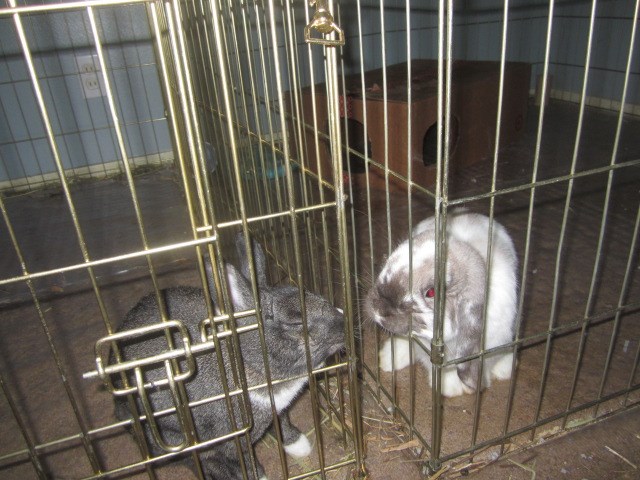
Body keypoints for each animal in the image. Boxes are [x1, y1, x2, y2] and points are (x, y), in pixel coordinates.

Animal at [110, 233, 345, 479]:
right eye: (294, 322)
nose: (344, 321)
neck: (246, 364)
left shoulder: (278, 412)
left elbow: (283, 424)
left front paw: (299, 445)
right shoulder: (235, 441)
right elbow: (245, 462)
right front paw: (260, 475)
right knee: (199, 460)